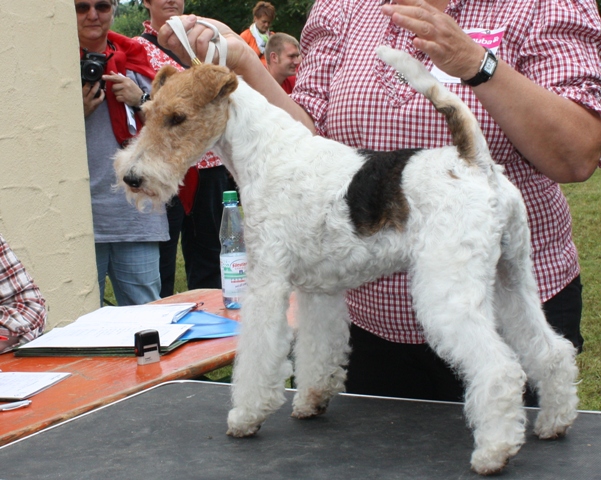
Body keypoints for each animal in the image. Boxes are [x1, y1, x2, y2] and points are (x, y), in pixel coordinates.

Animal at [112, 46, 576, 476]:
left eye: (178, 118)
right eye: (147, 112)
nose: (132, 178)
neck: (266, 154)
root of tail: (474, 162)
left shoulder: (268, 281)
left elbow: (259, 355)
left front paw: (246, 416)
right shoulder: (318, 289)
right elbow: (319, 351)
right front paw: (311, 401)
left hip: (449, 290)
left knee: (500, 369)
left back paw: (493, 453)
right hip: (513, 277)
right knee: (550, 350)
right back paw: (554, 422)